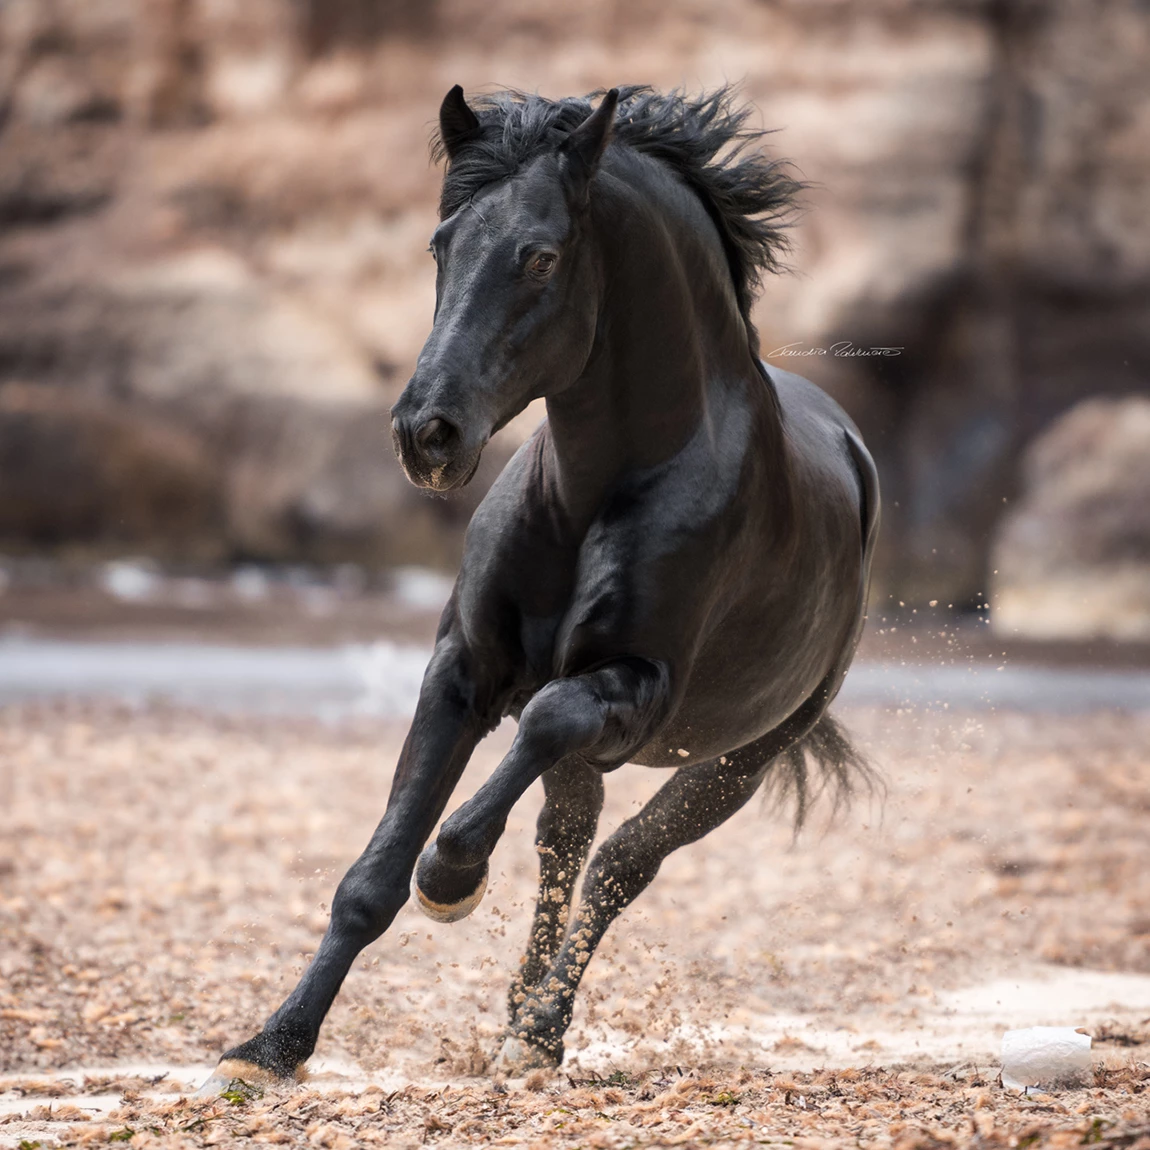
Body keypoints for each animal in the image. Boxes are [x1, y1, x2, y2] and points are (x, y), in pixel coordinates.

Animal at [199, 83, 880, 1089]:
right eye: (440, 245)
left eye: (542, 256)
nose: (426, 434)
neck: (598, 488)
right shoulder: (463, 670)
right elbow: (371, 879)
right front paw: (268, 1049)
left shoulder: (635, 687)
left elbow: (538, 733)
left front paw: (450, 879)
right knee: (570, 837)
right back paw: (519, 1021)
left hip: (742, 756)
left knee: (619, 864)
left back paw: (540, 1030)